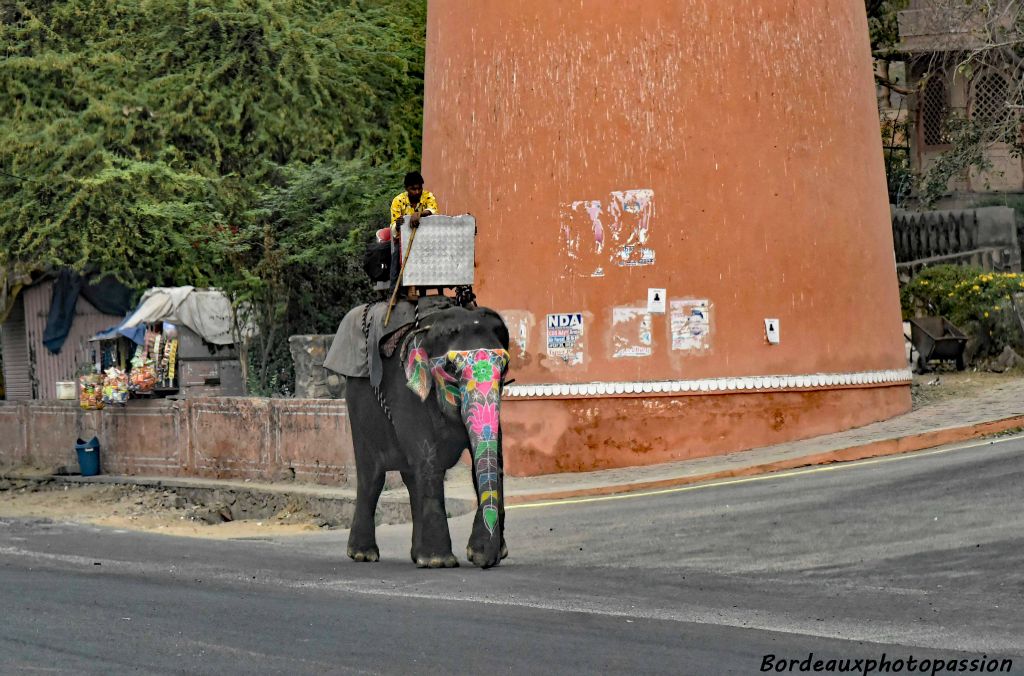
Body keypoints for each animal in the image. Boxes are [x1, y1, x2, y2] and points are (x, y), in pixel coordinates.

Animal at [325, 299, 512, 569]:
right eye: (450, 368)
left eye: (505, 368)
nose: (485, 562)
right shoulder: (406, 393)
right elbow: (428, 459)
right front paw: (440, 562)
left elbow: (495, 458)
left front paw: (486, 555)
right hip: (357, 405)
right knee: (372, 477)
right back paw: (364, 555)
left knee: (411, 477)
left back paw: (416, 556)